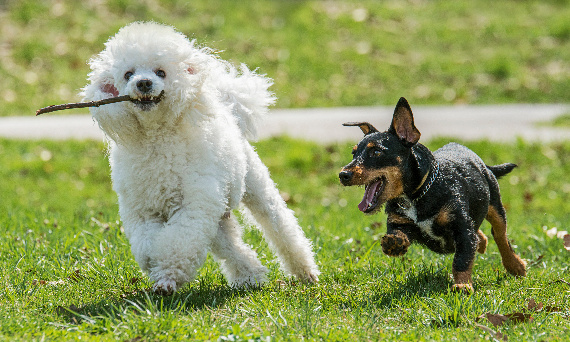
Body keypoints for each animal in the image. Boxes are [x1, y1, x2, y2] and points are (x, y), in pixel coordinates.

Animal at [338, 97, 524, 292]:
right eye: (353, 153)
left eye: (376, 152)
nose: (343, 175)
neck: (416, 195)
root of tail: (485, 165)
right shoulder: (399, 221)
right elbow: (398, 233)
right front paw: (393, 244)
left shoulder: (462, 227)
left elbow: (462, 259)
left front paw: (462, 285)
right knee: (482, 235)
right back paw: (482, 243)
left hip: (495, 205)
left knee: (500, 235)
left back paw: (516, 265)